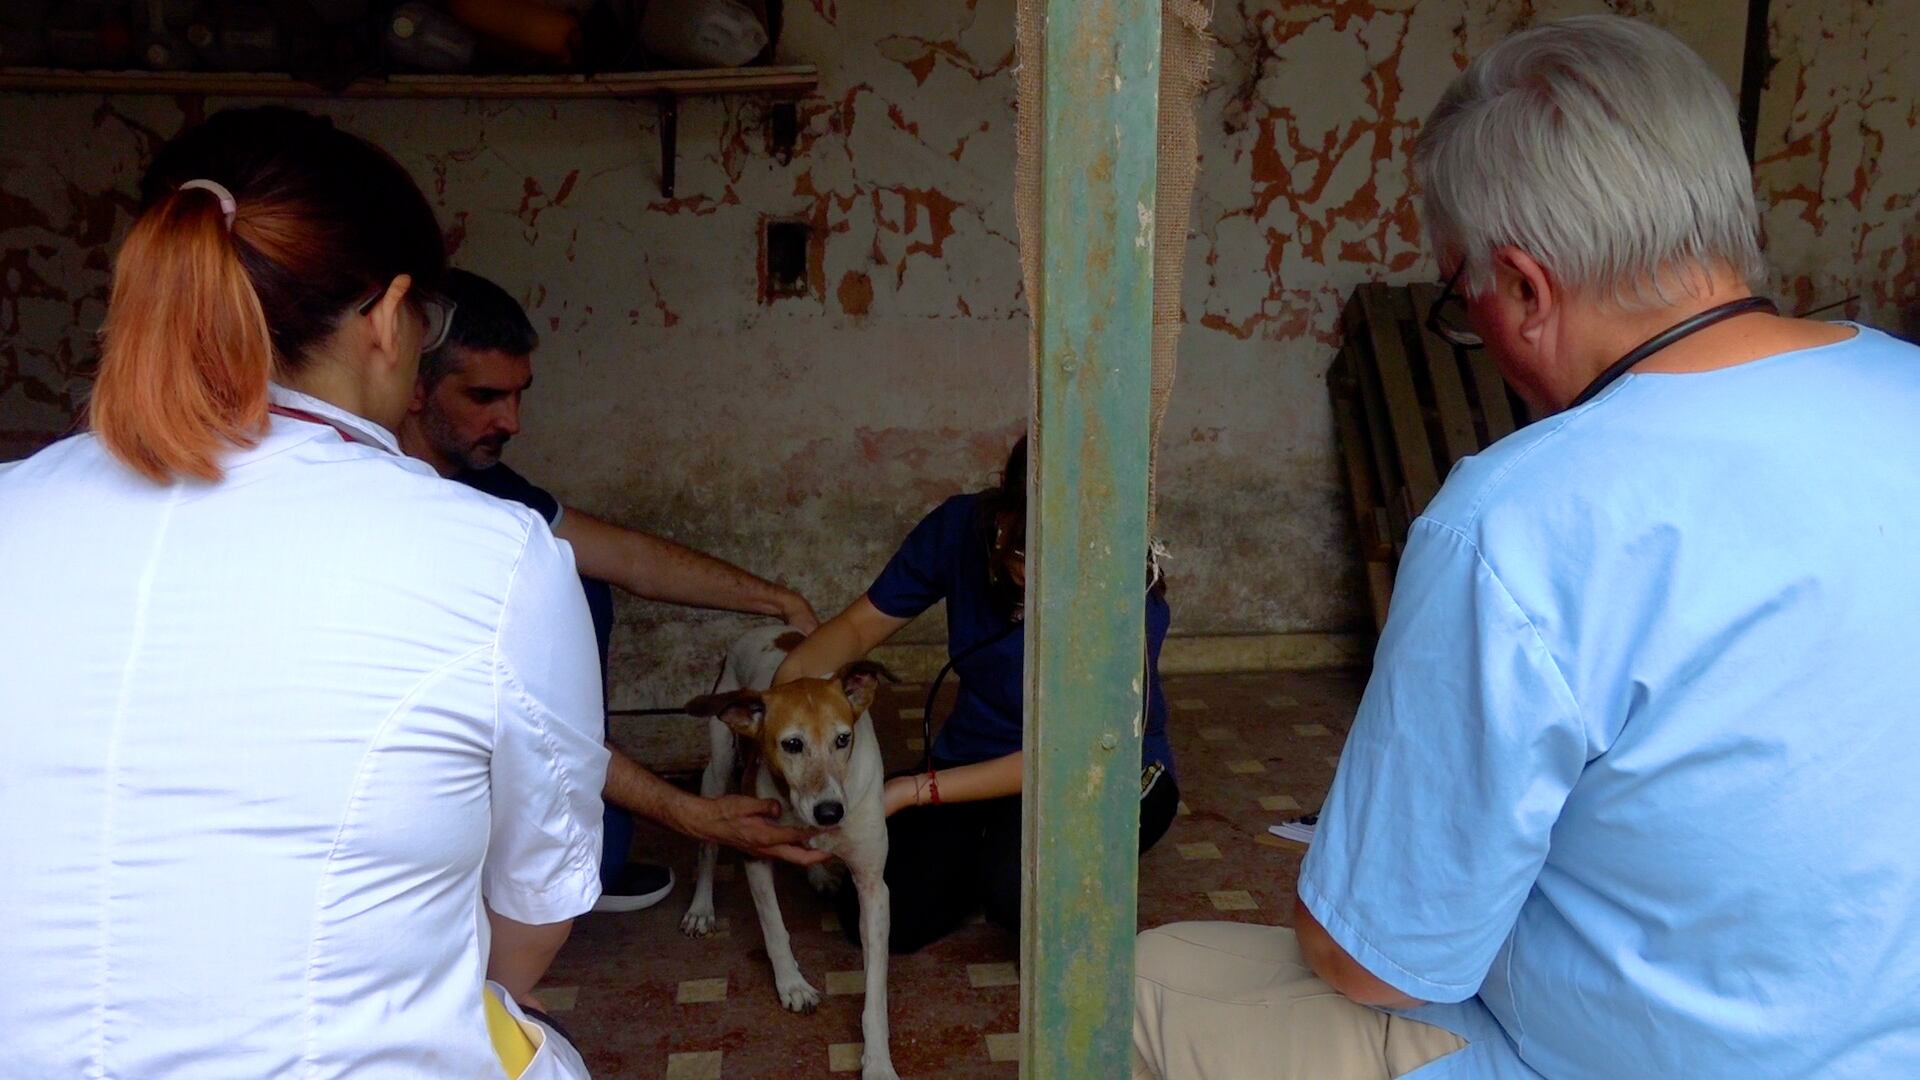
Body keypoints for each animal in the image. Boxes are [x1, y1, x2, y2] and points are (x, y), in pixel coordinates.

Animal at [679, 622, 894, 1076]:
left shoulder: (873, 886)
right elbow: (774, 928)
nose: (830, 812)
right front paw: (793, 985)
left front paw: (878, 1061)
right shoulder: (755, 852)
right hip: (718, 772)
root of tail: (768, 628)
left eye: (843, 739)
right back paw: (701, 907)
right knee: (707, 847)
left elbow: (875, 988)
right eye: (791, 745)